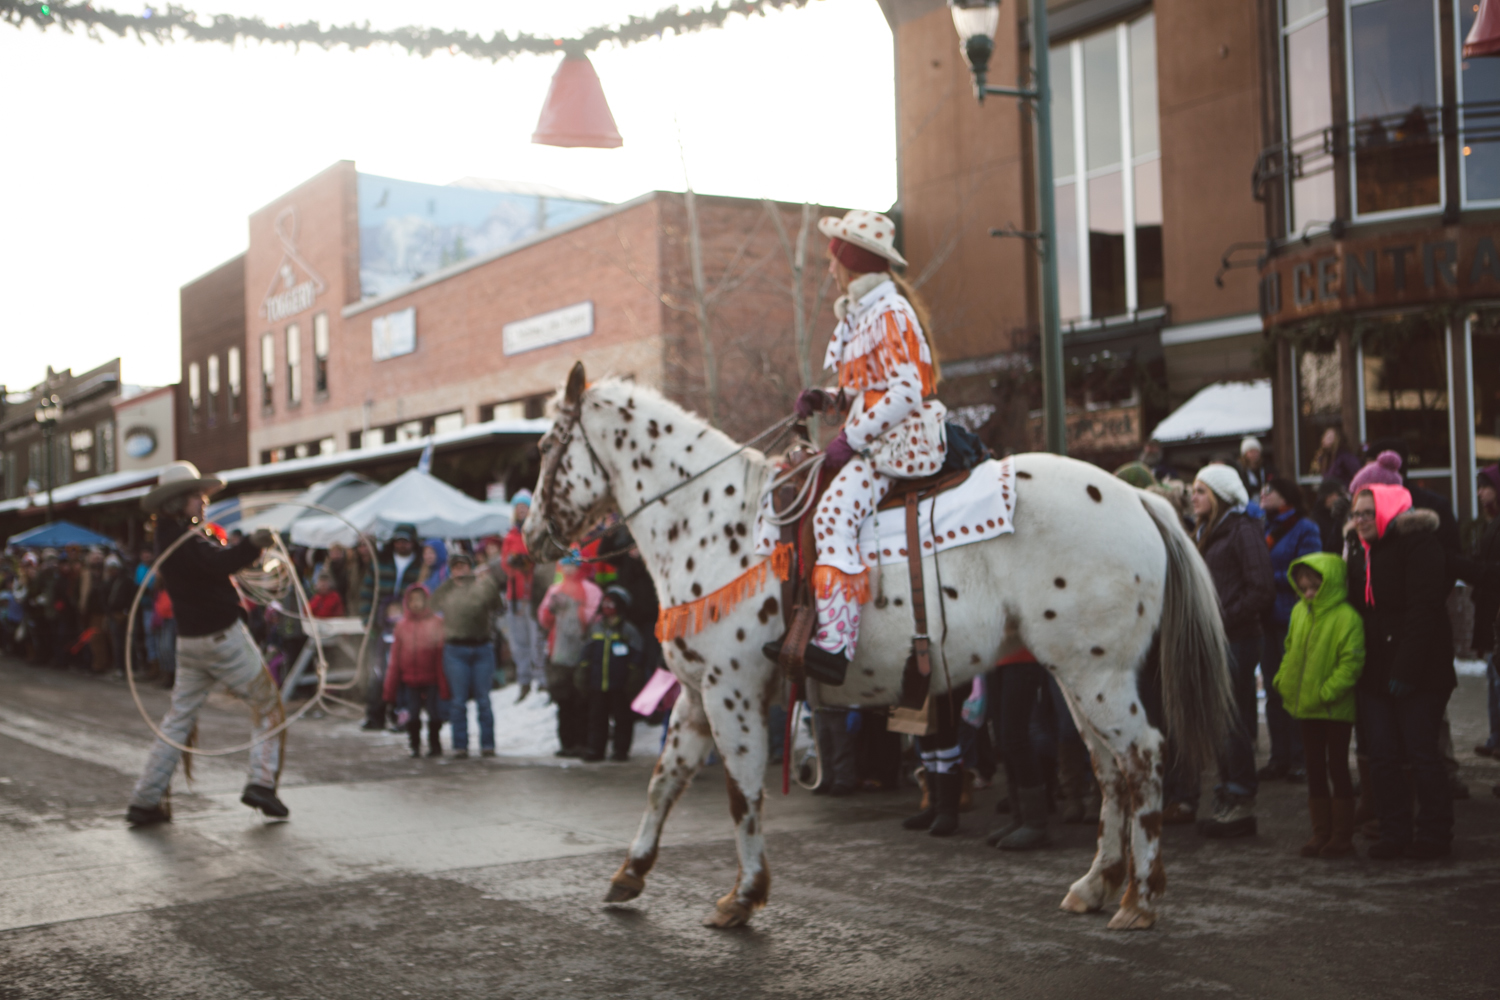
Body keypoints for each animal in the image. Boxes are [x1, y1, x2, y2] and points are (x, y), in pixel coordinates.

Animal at [528, 364, 1230, 935]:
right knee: (1111, 770)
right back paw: (1096, 884)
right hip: (1076, 673)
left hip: (1098, 675)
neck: (710, 521)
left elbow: (741, 792)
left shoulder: (734, 692)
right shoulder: (698, 695)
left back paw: (1140, 898)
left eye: (543, 446)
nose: (533, 535)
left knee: (1143, 758)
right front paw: (630, 873)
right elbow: (664, 783)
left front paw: (743, 895)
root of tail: (1137, 499)